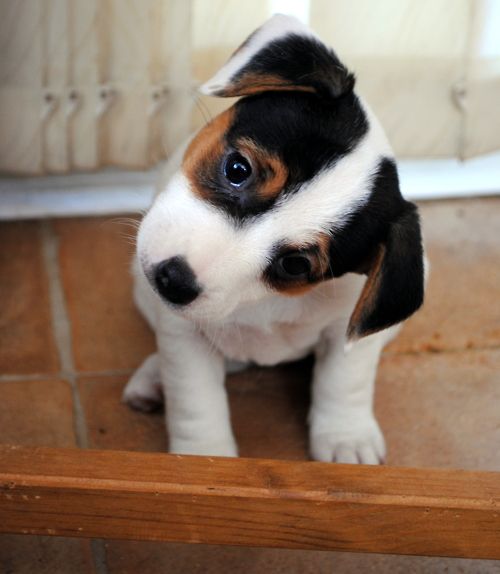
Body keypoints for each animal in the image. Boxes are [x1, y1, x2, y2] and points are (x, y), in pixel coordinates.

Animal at [123, 15, 424, 466]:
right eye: (237, 168)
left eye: (295, 265)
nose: (172, 280)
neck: (260, 304)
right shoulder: (183, 333)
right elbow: (196, 400)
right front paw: (202, 457)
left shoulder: (348, 334)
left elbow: (345, 380)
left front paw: (345, 436)